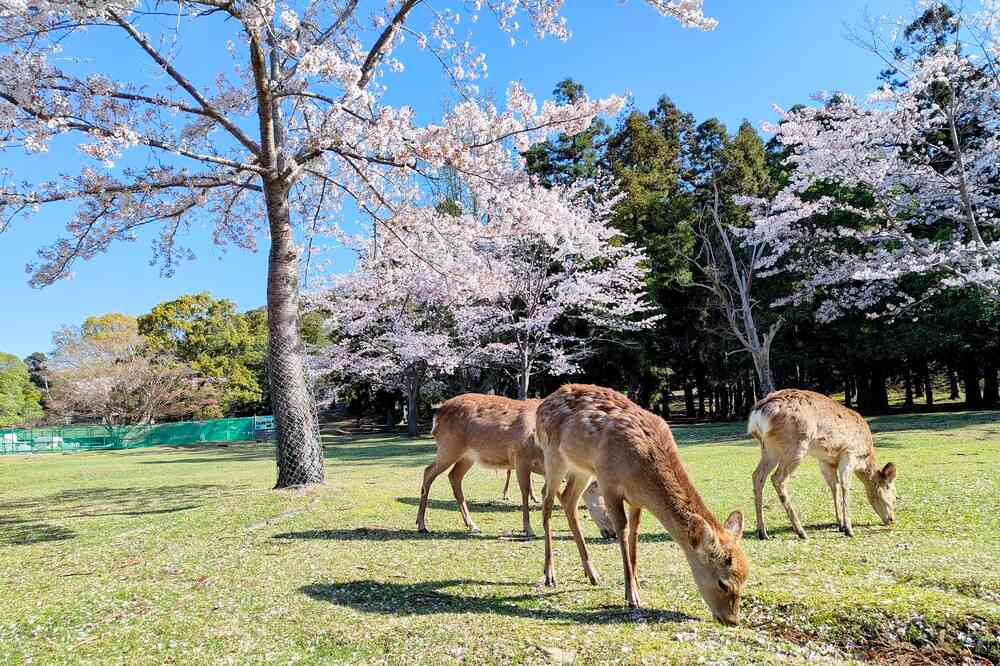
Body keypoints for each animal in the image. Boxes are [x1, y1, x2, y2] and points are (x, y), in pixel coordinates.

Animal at [416, 394, 548, 536]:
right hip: (449, 447)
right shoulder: (521, 458)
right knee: (428, 472)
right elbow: (525, 491)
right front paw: (528, 529)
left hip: (466, 457)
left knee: (453, 476)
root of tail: (438, 414)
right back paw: (422, 525)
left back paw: (472, 525)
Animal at [536, 384, 748, 624]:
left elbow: (634, 535)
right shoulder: (608, 481)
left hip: (582, 469)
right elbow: (622, 529)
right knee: (546, 498)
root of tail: (542, 404)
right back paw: (549, 574)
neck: (641, 473)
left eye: (745, 579)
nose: (732, 620)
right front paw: (632, 596)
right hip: (553, 455)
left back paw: (592, 574)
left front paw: (635, 583)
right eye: (723, 583)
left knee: (568, 498)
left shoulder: (636, 499)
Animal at [752, 390, 900, 540]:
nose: (892, 519)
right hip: (796, 445)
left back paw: (762, 532)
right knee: (777, 478)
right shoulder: (849, 454)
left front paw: (840, 524)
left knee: (757, 475)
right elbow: (845, 486)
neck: (864, 458)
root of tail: (758, 413)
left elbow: (834, 486)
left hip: (769, 447)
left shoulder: (826, 461)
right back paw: (801, 532)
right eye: (893, 494)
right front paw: (849, 529)